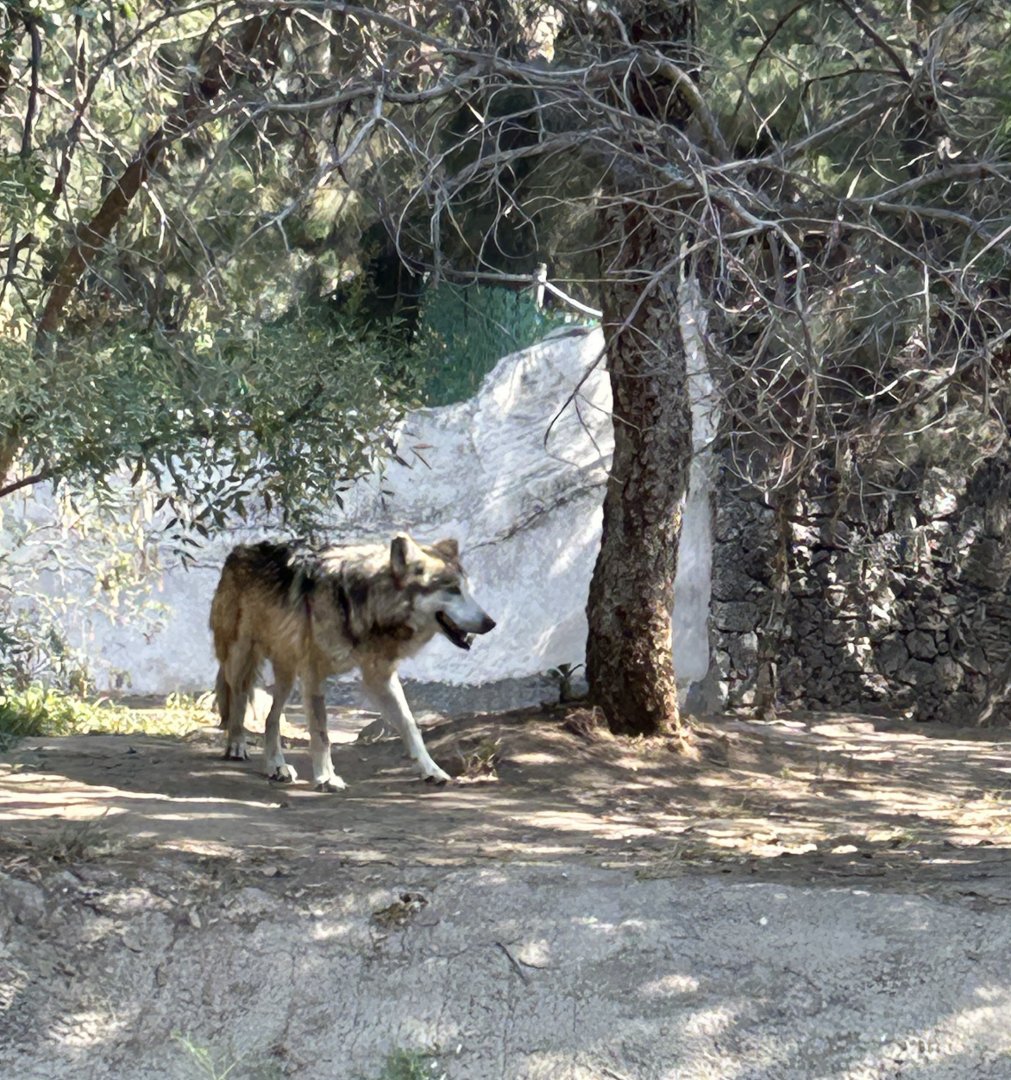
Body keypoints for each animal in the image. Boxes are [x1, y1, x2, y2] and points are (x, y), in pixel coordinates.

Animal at [209, 534, 496, 790]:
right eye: (453, 590)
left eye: (467, 590)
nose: (491, 623)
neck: (361, 603)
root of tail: (240, 549)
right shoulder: (314, 674)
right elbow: (321, 732)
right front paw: (326, 777)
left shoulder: (380, 677)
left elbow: (410, 726)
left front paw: (432, 770)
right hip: (242, 658)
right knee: (237, 696)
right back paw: (237, 745)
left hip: (287, 674)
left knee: (271, 719)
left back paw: (276, 766)